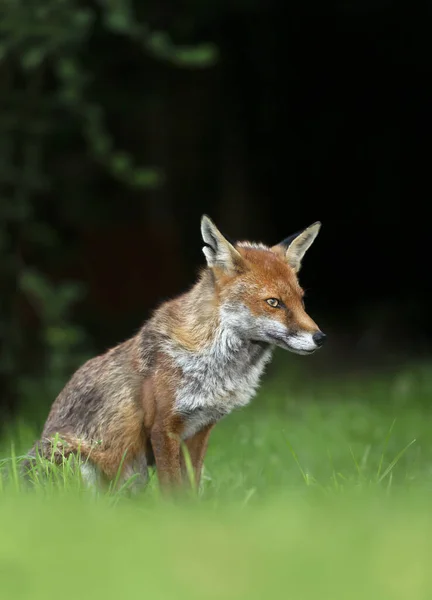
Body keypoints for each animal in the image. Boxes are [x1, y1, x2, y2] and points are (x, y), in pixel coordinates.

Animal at [25, 216, 326, 492]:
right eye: (273, 302)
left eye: (301, 300)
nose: (321, 338)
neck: (216, 368)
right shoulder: (163, 427)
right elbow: (172, 491)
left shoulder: (199, 429)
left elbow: (190, 488)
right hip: (79, 462)